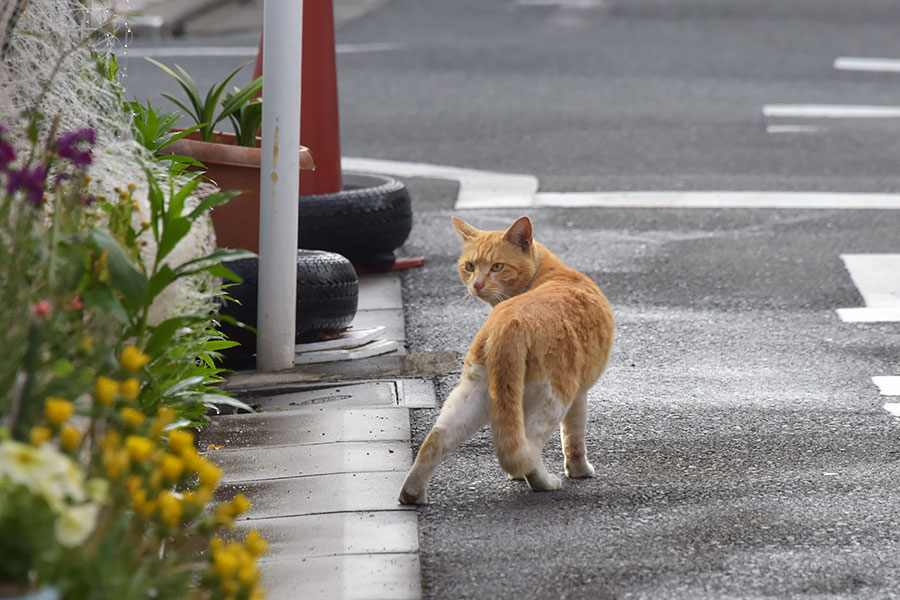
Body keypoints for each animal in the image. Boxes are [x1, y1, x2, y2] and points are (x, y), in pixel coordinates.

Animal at [400, 218, 616, 504]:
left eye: (497, 267)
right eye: (470, 266)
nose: (477, 284)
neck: (549, 273)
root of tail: (509, 323)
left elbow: (511, 432)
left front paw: (517, 477)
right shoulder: (579, 393)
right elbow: (573, 437)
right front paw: (579, 471)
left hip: (474, 394)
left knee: (436, 440)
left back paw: (412, 494)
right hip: (555, 397)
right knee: (531, 447)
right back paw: (544, 482)